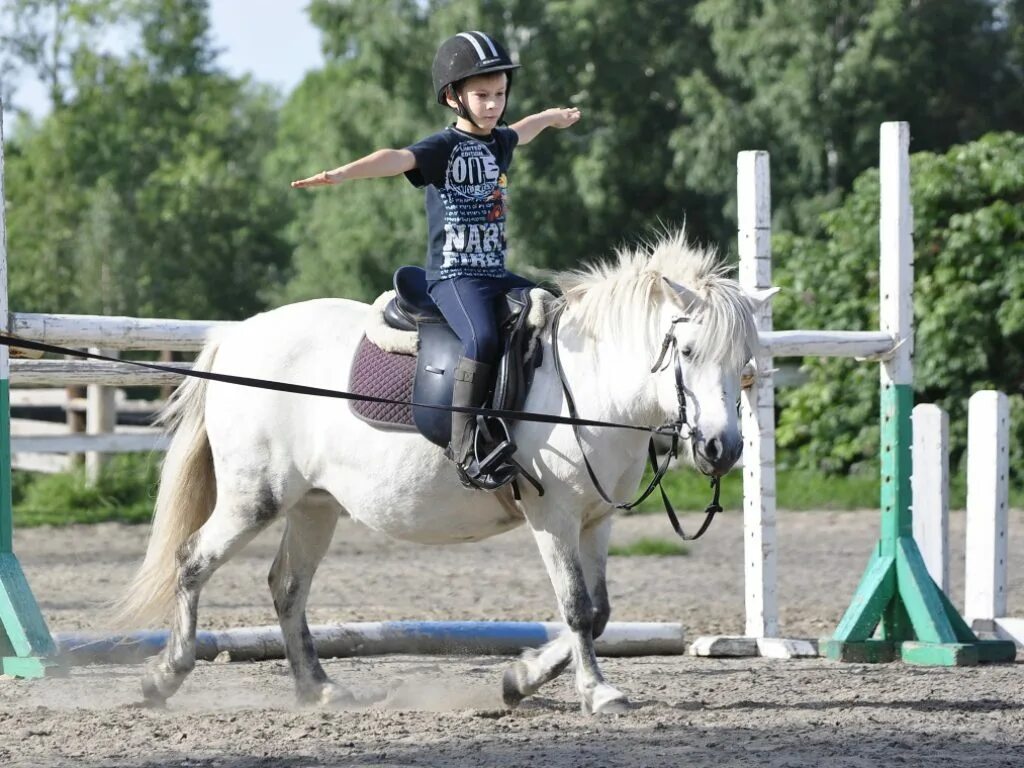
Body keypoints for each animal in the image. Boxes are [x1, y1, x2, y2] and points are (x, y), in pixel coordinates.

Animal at [114, 228, 770, 716]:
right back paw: (164, 678)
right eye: (687, 352)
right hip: (256, 498)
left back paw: (318, 689)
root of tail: (237, 338)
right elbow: (578, 607)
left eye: (744, 361)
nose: (721, 448)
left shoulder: (595, 520)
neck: (589, 384)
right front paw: (597, 691)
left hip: (315, 506)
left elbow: (600, 611)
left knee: (287, 586)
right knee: (192, 562)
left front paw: (519, 680)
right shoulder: (553, 516)